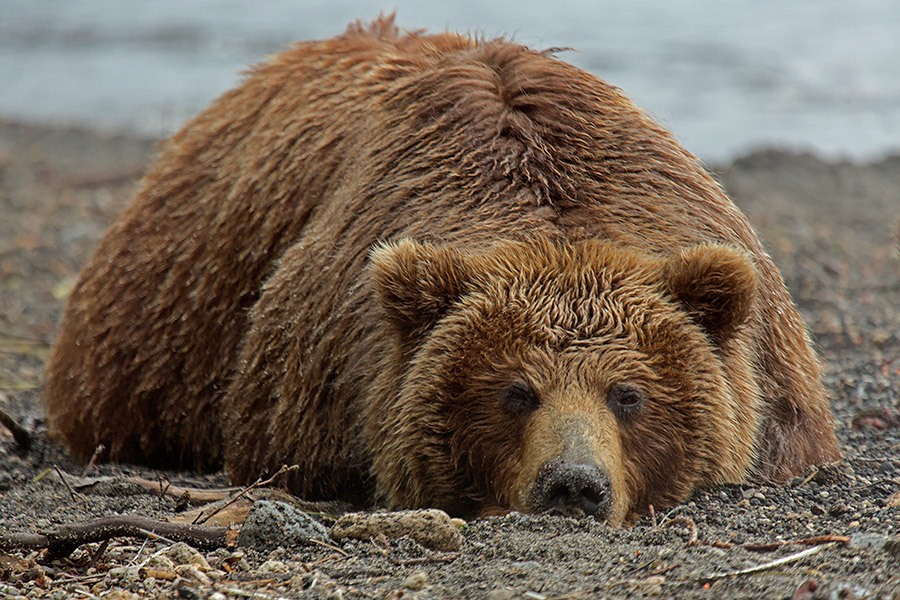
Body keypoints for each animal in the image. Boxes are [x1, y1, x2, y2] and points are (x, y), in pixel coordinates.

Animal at [42, 16, 840, 524]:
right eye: (515, 392)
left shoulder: (776, 389)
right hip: (157, 330)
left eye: (629, 395)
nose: (573, 485)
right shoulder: (313, 384)